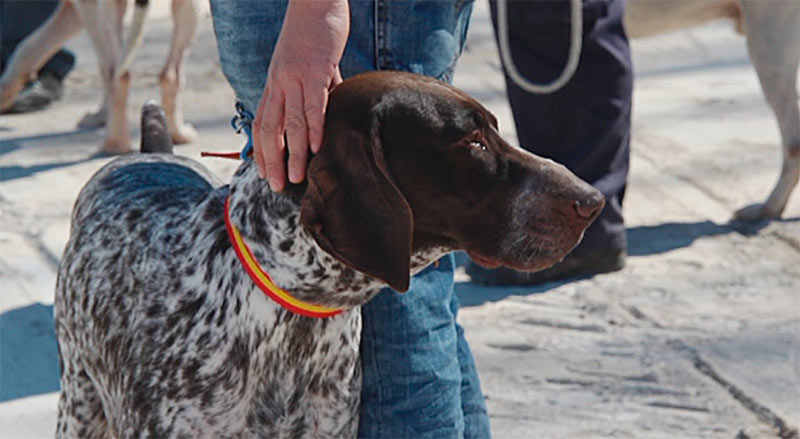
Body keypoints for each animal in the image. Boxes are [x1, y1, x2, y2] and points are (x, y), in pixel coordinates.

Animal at [0, 0, 199, 155]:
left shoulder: (80, 6)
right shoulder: (72, 11)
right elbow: (29, 47)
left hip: (100, 10)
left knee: (116, 74)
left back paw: (114, 145)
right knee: (170, 74)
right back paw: (176, 133)